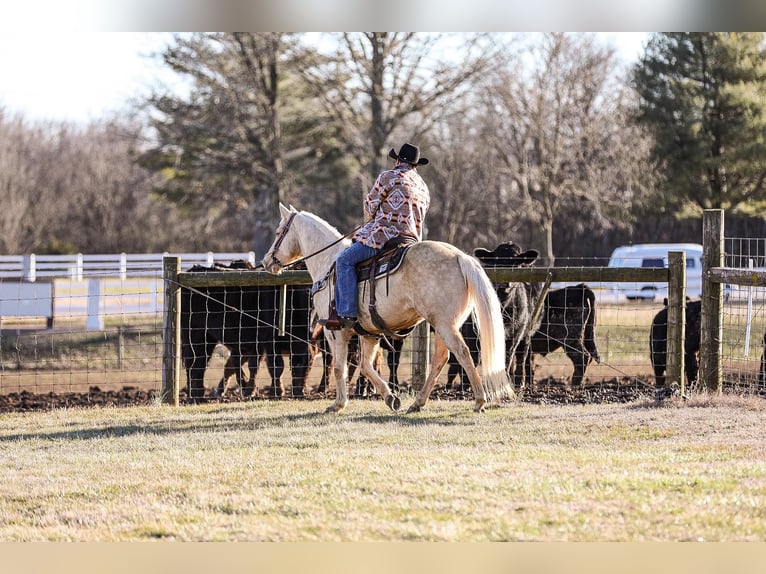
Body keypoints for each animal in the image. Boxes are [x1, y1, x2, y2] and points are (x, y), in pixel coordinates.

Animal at [180, 264, 312, 402]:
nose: (309, 292)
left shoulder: (301, 342)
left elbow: (298, 365)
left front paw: (299, 393)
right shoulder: (270, 342)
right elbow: (276, 367)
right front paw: (277, 392)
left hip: (208, 339)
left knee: (200, 363)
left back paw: (198, 395)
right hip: (194, 336)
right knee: (193, 363)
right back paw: (193, 396)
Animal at [260, 204, 512, 414]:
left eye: (278, 232)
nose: (265, 262)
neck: (329, 263)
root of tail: (460, 257)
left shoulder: (335, 331)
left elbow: (340, 367)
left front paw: (338, 404)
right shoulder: (369, 334)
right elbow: (365, 366)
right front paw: (390, 397)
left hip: (444, 324)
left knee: (462, 353)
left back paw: (479, 400)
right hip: (445, 325)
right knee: (441, 358)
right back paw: (417, 403)